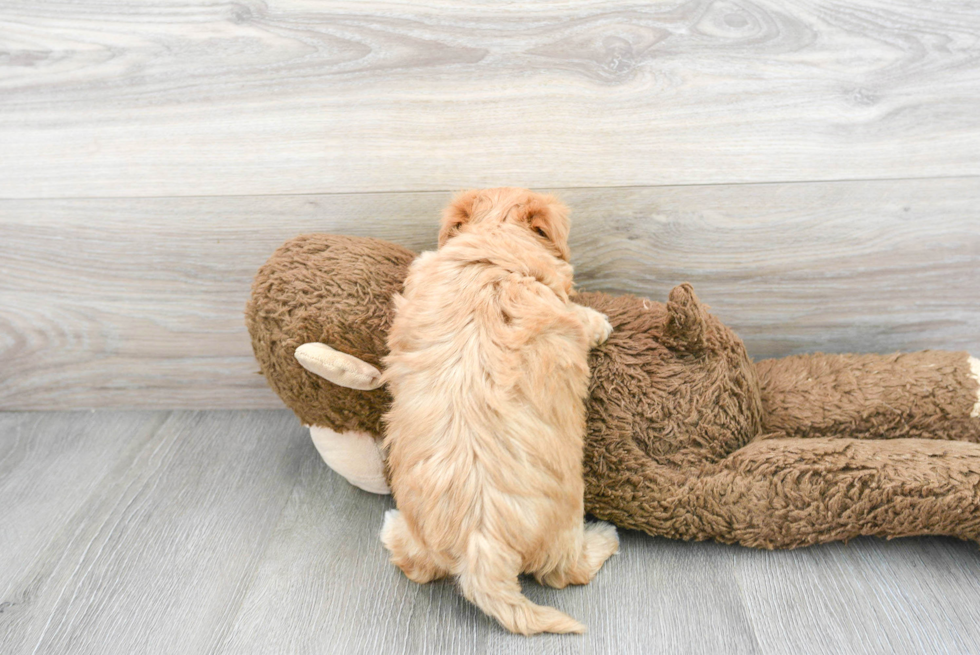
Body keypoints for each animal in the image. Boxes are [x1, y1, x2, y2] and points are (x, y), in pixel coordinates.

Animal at [378, 186, 616, 636]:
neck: (492, 246)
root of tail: (482, 553)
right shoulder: (560, 305)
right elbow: (581, 318)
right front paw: (600, 321)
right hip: (563, 531)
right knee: (566, 572)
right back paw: (605, 537)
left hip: (422, 539)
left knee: (414, 564)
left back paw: (390, 529)